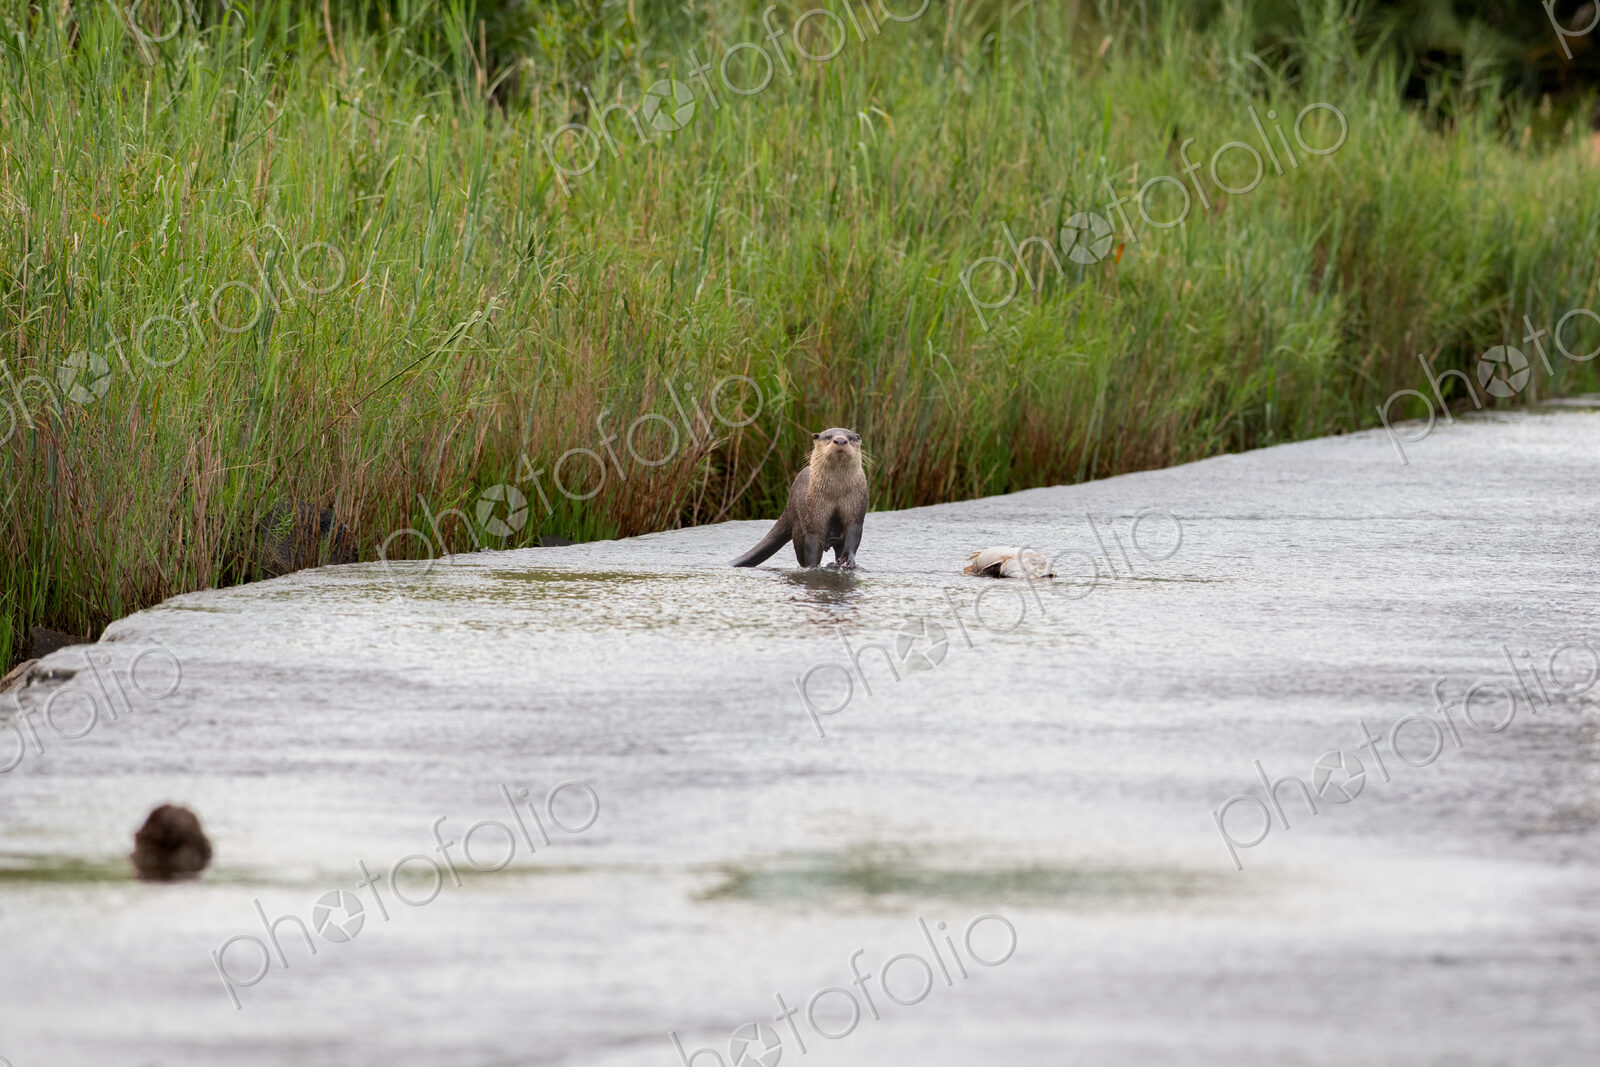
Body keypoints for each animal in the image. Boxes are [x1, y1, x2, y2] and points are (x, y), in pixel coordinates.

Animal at [732, 428, 868, 568]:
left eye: (850, 438)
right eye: (828, 437)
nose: (840, 440)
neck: (835, 493)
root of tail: (788, 506)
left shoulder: (856, 507)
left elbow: (853, 535)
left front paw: (849, 561)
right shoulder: (813, 515)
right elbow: (813, 543)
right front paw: (813, 567)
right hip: (797, 527)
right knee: (800, 552)